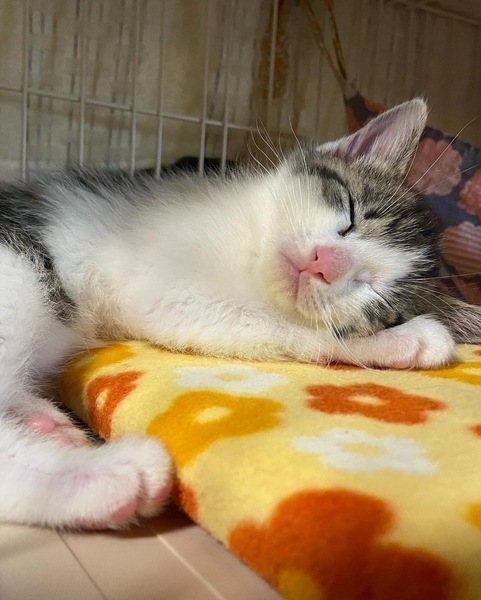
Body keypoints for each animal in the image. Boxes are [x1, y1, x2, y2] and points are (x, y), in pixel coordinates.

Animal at [0, 98, 480, 530]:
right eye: (348, 214)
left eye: (374, 291)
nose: (324, 263)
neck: (253, 247)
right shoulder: (164, 284)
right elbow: (283, 325)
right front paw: (405, 339)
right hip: (19, 274)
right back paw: (101, 477)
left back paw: (46, 424)